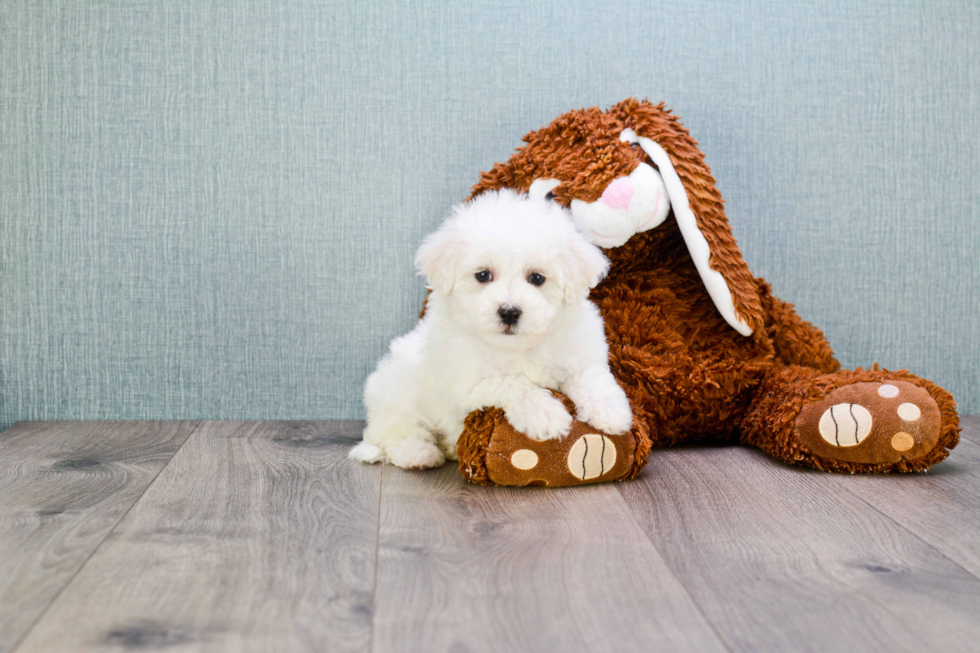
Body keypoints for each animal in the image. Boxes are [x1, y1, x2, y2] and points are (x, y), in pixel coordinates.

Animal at [348, 188, 632, 468]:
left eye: (537, 278)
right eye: (483, 275)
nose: (509, 311)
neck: (517, 346)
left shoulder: (579, 350)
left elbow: (591, 376)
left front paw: (611, 412)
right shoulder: (466, 384)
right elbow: (511, 383)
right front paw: (545, 414)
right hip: (398, 389)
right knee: (395, 434)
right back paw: (418, 453)